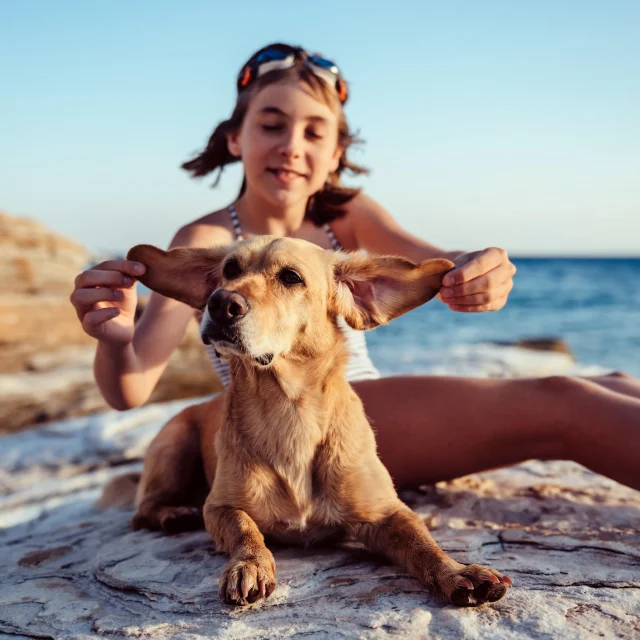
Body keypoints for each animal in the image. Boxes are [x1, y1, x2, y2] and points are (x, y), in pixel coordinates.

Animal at [102, 238, 512, 608]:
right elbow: (246, 529)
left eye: (291, 277)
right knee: (142, 511)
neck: (289, 412)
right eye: (230, 270)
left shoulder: (386, 513)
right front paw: (249, 565)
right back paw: (173, 515)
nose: (220, 302)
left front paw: (456, 571)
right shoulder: (219, 507)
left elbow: (422, 542)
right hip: (174, 442)